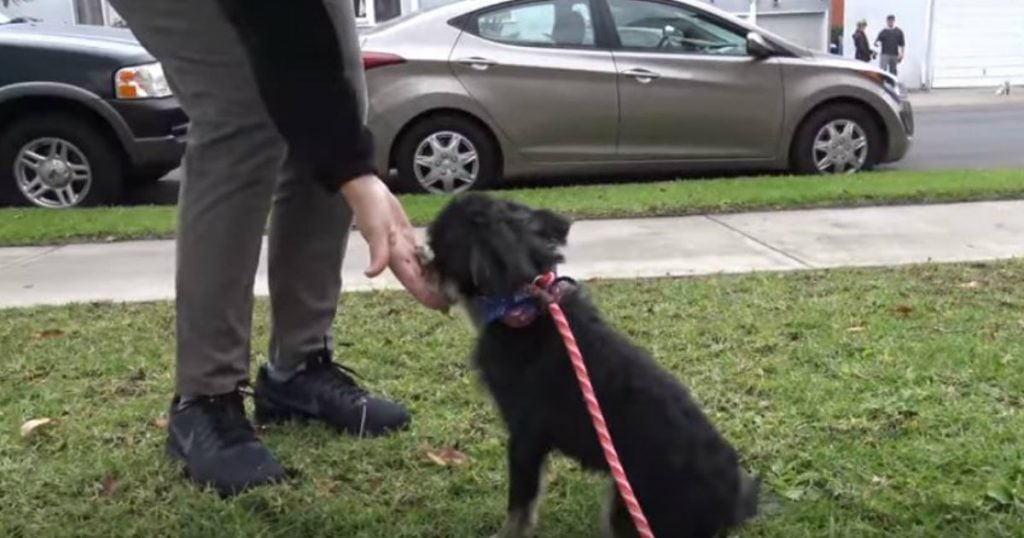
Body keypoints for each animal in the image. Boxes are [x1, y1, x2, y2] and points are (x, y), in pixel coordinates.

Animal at [423, 193, 761, 536]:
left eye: (435, 247)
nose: (422, 265)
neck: (521, 308)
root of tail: (735, 504)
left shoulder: (525, 438)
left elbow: (520, 507)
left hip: (627, 508)